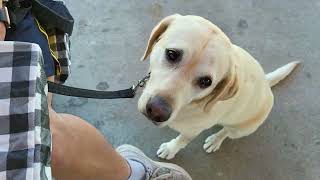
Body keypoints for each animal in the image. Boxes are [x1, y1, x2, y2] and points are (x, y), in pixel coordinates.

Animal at [138, 14, 300, 160]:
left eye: (206, 82)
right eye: (172, 54)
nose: (157, 112)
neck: (190, 106)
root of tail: (266, 83)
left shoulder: (192, 131)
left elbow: (182, 141)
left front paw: (171, 149)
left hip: (240, 129)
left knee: (227, 132)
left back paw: (215, 140)